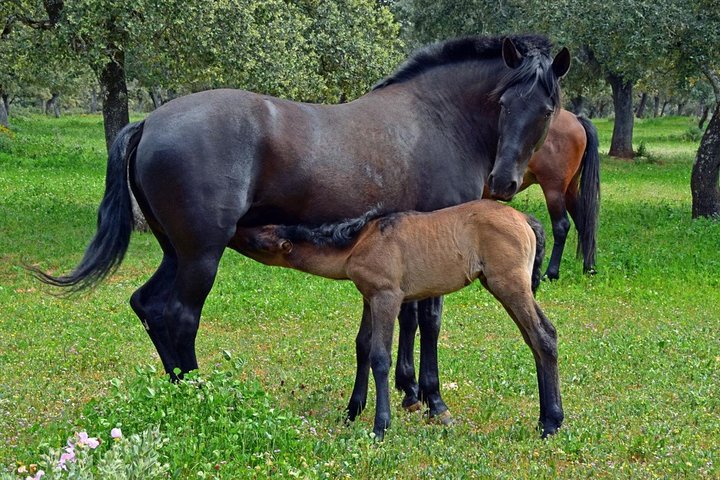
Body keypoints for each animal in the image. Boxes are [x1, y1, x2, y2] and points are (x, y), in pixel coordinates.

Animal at [235, 199, 561, 439]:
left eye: (263, 235)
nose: (236, 227)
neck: (360, 242)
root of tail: (526, 219)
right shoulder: (369, 298)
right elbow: (362, 347)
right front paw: (352, 411)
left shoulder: (387, 297)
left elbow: (380, 357)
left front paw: (380, 426)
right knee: (538, 339)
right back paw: (545, 418)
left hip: (510, 286)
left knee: (543, 337)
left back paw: (551, 423)